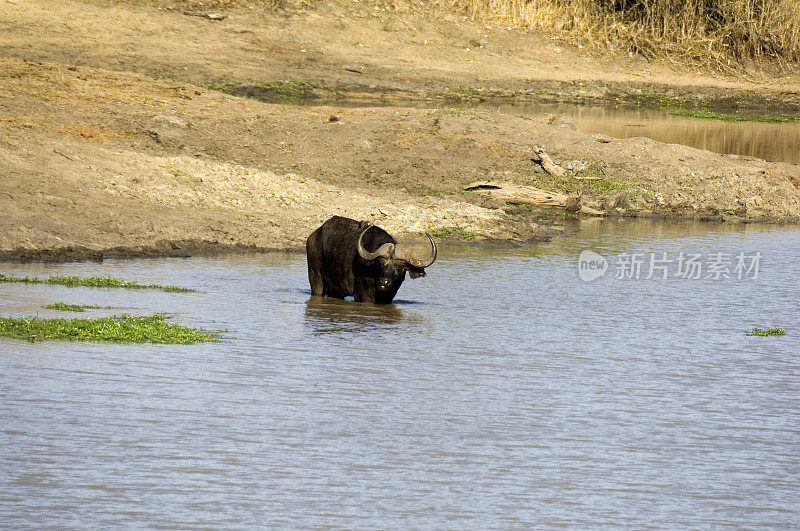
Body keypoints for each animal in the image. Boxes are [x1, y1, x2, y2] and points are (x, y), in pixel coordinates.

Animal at [304, 215, 438, 304]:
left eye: (400, 267)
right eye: (380, 264)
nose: (384, 282)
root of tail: (313, 236)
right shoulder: (363, 297)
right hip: (315, 280)